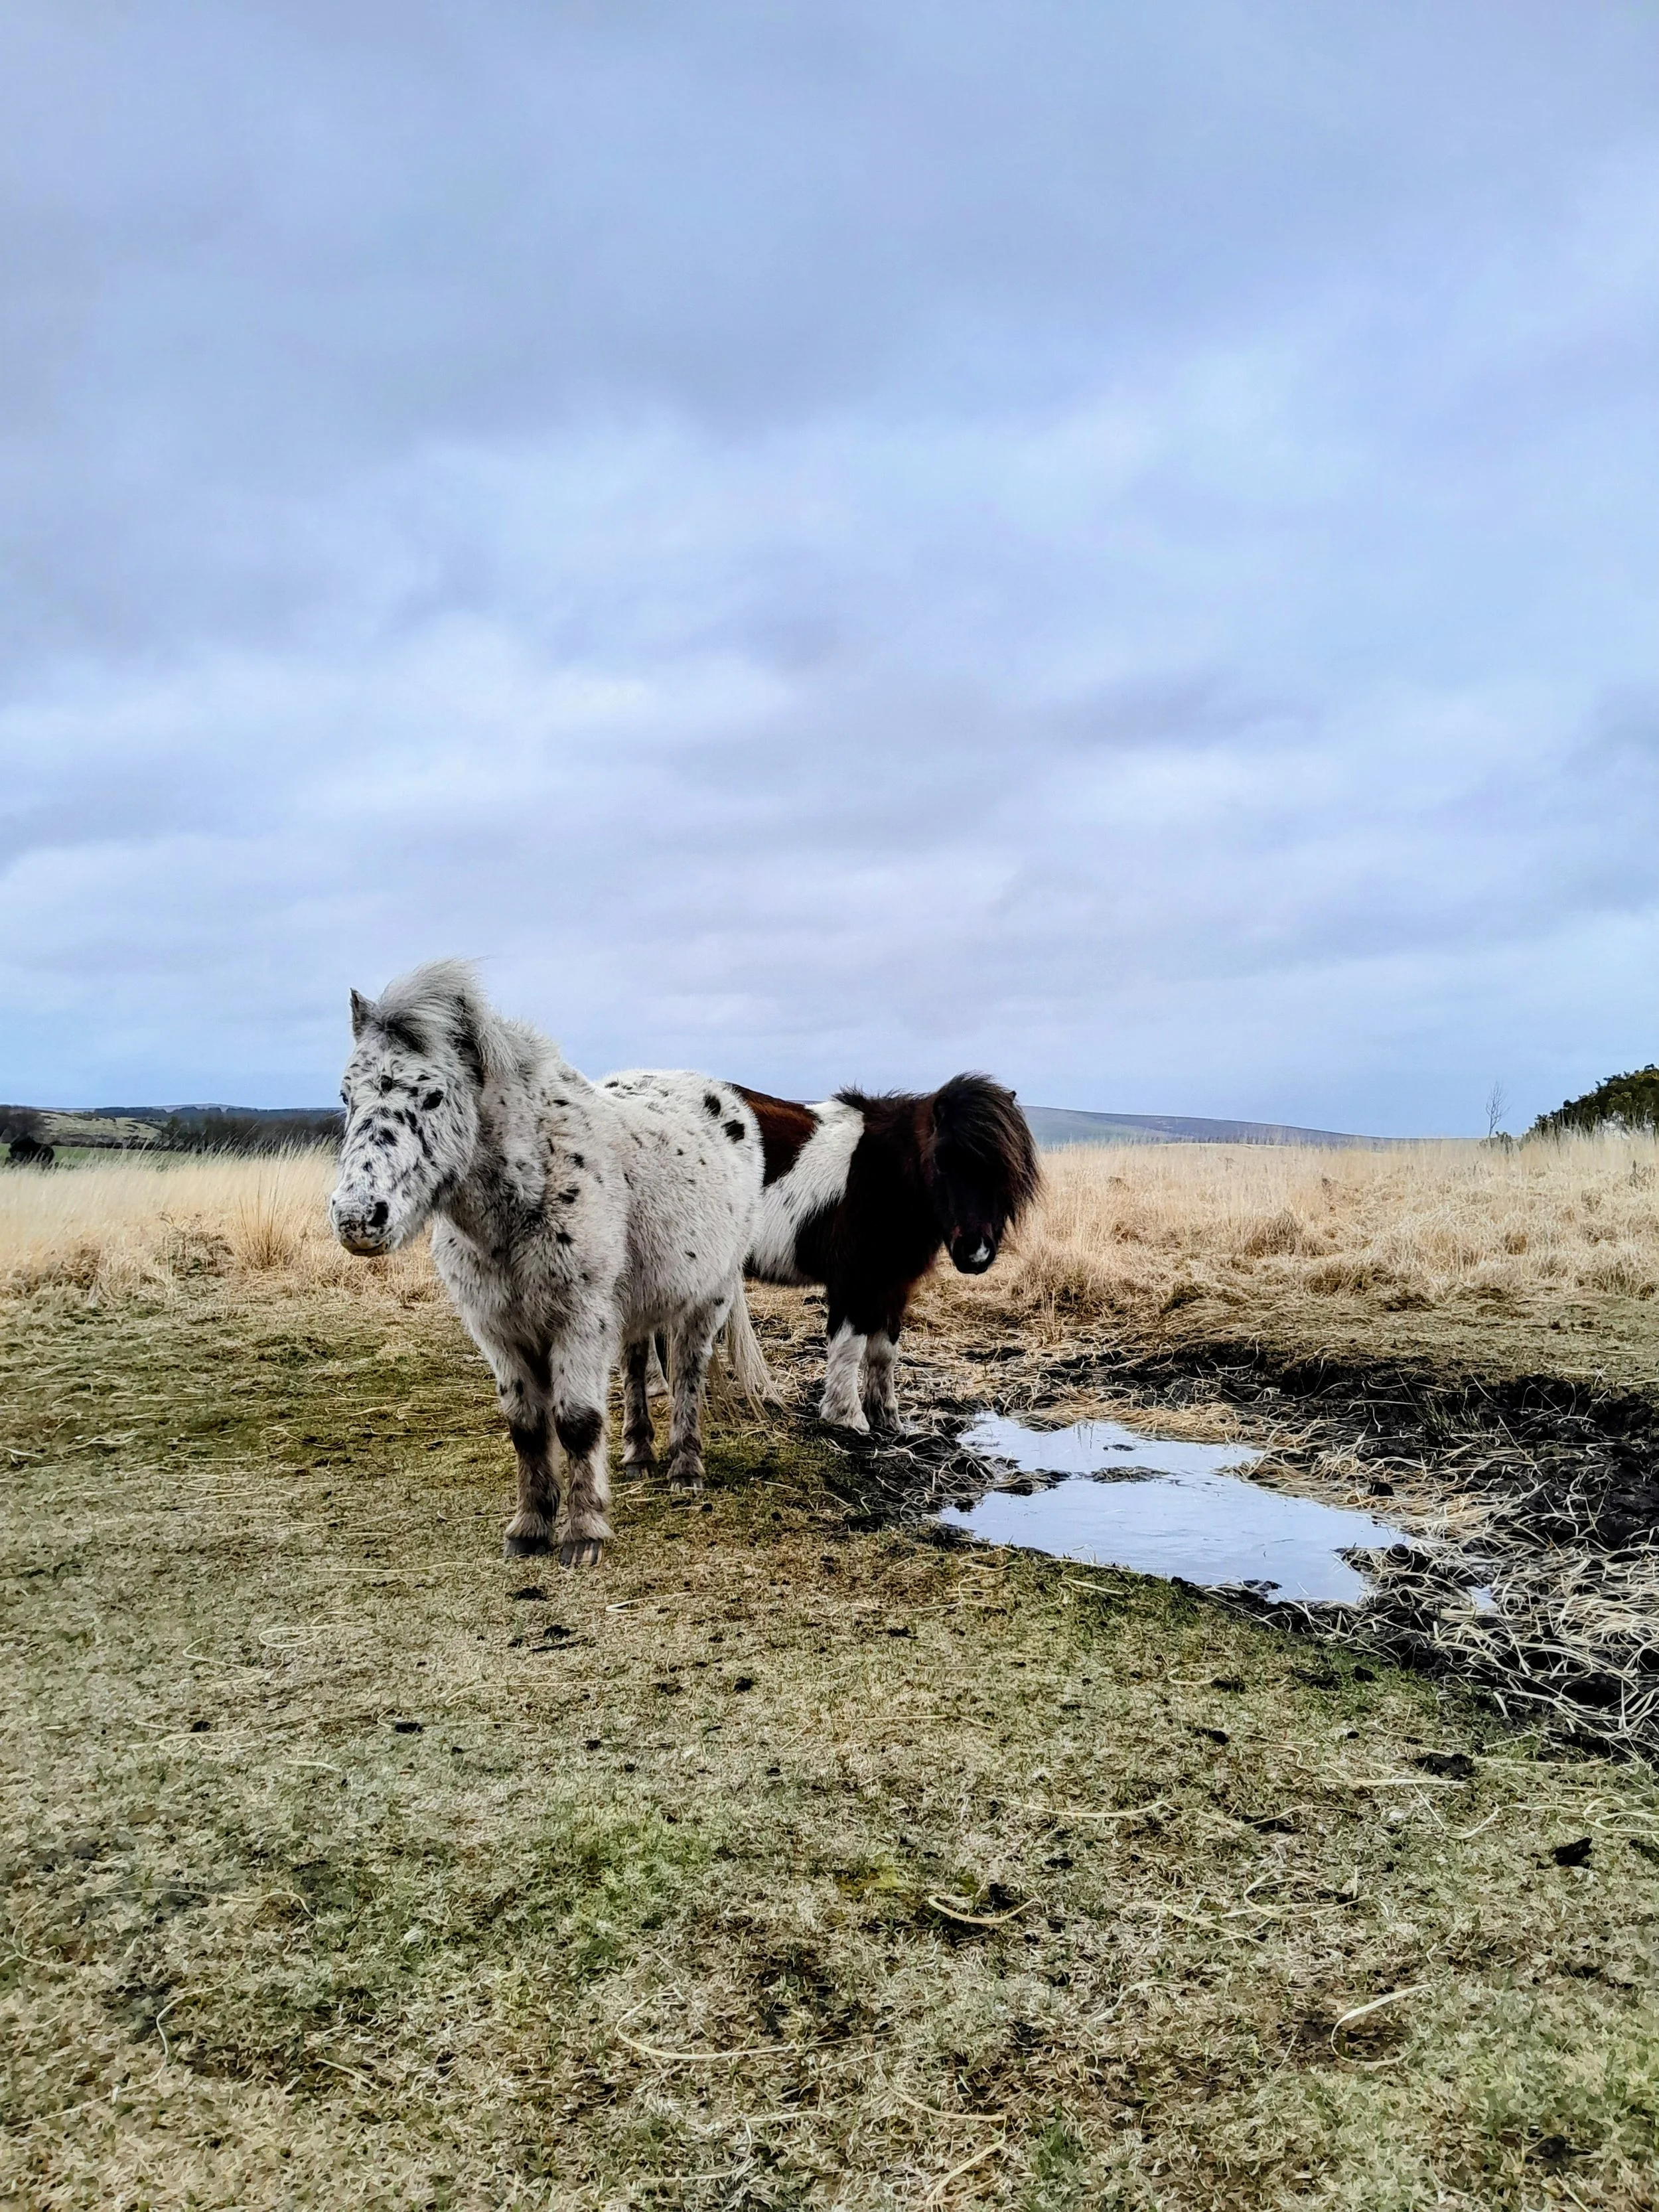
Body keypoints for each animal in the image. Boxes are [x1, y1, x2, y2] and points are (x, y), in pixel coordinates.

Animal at [328, 960, 767, 1566]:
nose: (357, 1218)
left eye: (435, 1096)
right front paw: (530, 1527)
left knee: (687, 1372)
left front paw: (583, 1534)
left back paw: (685, 1467)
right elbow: (527, 1428)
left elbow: (577, 1424)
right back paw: (637, 1456)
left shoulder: (579, 1322)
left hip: (709, 1297)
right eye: (346, 1095)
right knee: (636, 1367)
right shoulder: (499, 1331)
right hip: (634, 1306)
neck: (527, 1191)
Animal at [733, 1074, 1040, 1433]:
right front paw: (847, 1417)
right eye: (942, 1160)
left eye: (1007, 1168)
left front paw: (887, 1418)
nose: (975, 1254)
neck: (887, 1175)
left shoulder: (893, 1283)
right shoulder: (854, 1282)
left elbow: (883, 1351)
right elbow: (850, 1346)